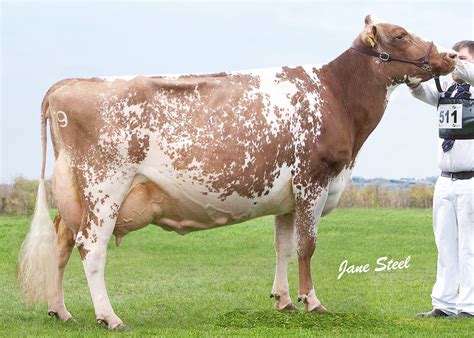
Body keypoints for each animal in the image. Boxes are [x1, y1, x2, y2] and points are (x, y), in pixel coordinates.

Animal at [18, 14, 456, 328]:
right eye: (400, 35)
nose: (450, 55)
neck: (336, 94)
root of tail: (69, 84)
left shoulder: (288, 196)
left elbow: (282, 246)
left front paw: (283, 301)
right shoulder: (313, 181)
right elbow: (307, 246)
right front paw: (312, 302)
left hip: (74, 194)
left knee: (61, 242)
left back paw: (60, 311)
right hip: (104, 188)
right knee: (91, 248)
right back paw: (109, 316)